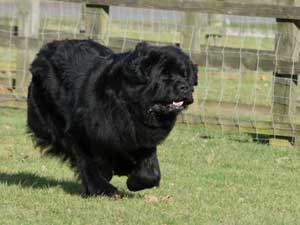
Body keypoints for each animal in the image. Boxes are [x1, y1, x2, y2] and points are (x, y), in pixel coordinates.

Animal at [27, 39, 197, 196]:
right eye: (165, 75)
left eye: (185, 75)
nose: (184, 87)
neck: (129, 105)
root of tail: (43, 52)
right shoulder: (81, 134)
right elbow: (87, 162)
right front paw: (103, 188)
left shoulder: (140, 137)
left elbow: (151, 171)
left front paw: (135, 181)